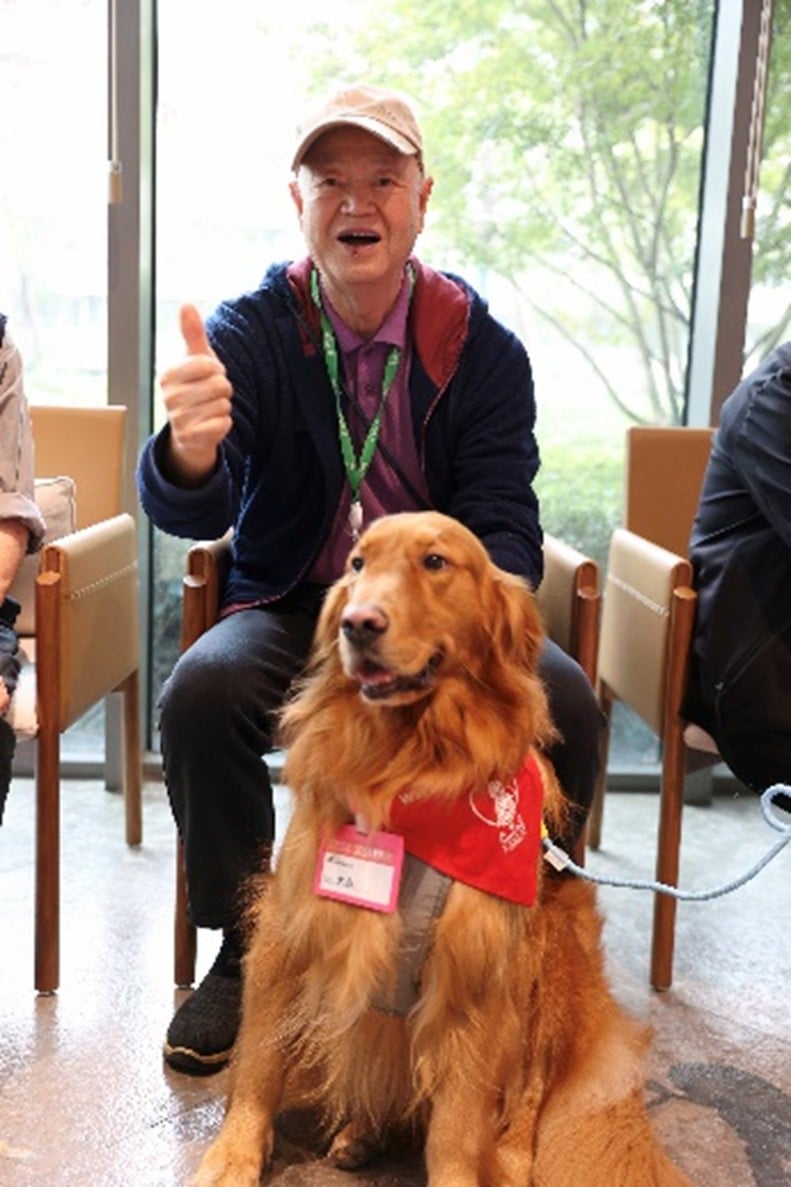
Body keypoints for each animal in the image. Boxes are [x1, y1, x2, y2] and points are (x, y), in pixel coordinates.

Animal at [192, 512, 688, 1187]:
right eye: (357, 563)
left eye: (435, 562)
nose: (359, 623)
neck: (409, 770)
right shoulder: (291, 932)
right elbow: (261, 1065)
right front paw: (234, 1154)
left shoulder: (476, 970)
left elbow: (456, 1122)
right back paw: (360, 1133)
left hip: (545, 967)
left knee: (528, 1095)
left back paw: (510, 1158)